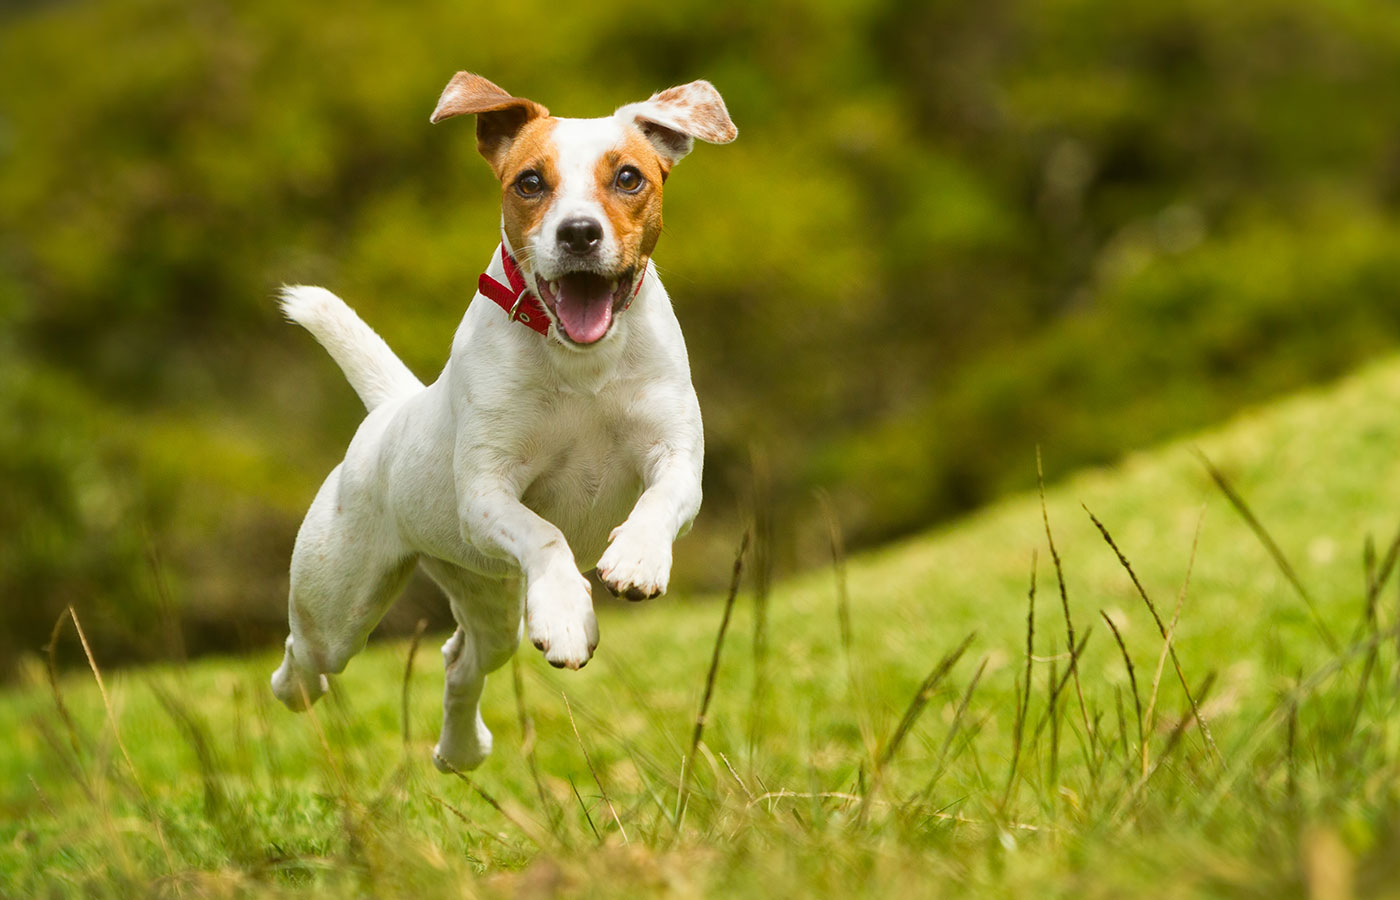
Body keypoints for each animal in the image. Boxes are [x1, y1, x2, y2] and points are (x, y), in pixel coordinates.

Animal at [266, 73, 739, 772]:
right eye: (530, 182)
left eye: (628, 177)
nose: (578, 233)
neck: (581, 363)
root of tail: (390, 410)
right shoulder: (487, 493)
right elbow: (545, 535)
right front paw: (567, 613)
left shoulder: (676, 456)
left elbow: (659, 500)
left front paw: (636, 559)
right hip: (340, 602)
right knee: (307, 657)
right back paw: (297, 688)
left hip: (486, 596)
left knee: (460, 659)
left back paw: (461, 750)